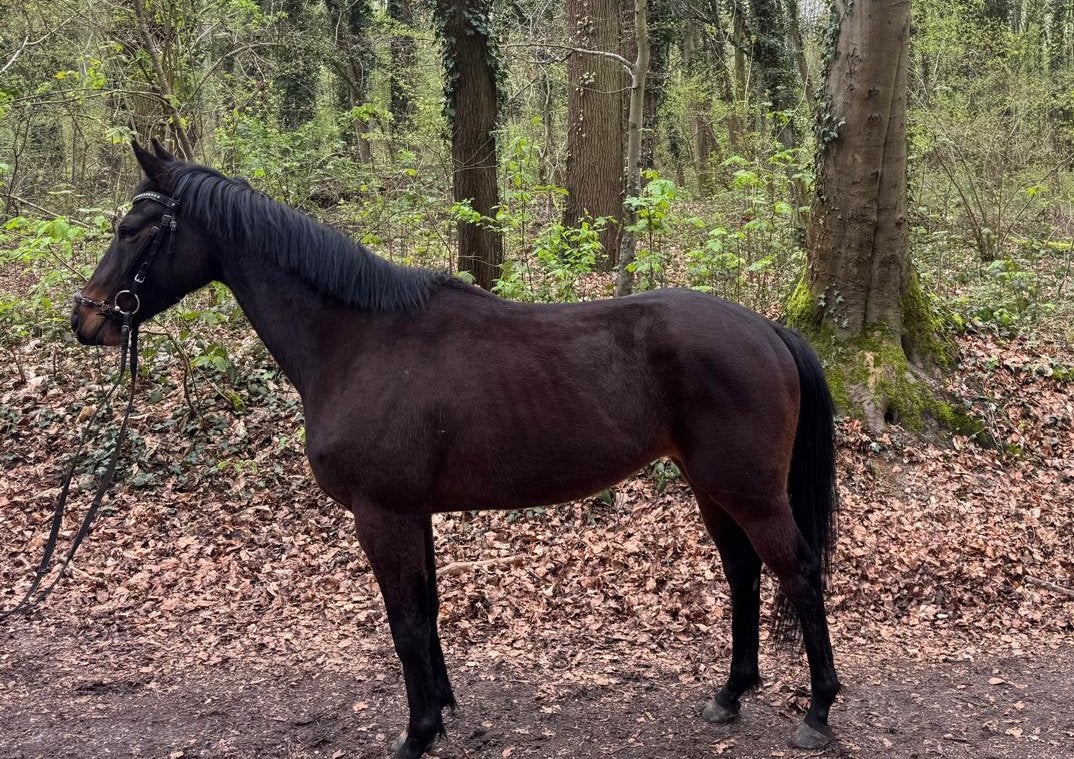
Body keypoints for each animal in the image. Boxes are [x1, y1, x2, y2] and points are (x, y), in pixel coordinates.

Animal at [71, 141, 841, 758]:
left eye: (133, 229)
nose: (87, 319)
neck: (354, 339)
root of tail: (768, 330)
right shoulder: (412, 512)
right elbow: (428, 608)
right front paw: (439, 710)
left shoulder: (381, 514)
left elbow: (404, 620)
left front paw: (415, 734)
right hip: (712, 486)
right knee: (744, 574)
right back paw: (730, 694)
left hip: (749, 490)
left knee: (801, 573)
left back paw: (818, 711)